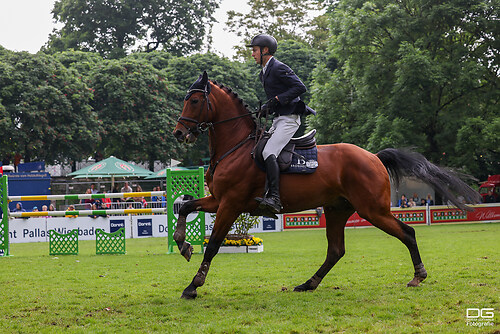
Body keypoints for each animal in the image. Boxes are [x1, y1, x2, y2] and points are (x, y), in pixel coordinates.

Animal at [171, 71, 480, 300]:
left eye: (195, 101)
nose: (179, 133)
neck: (235, 147)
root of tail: (374, 157)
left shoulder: (231, 203)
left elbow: (213, 245)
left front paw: (193, 285)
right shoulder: (218, 199)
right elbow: (185, 207)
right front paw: (183, 244)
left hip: (373, 210)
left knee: (407, 233)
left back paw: (418, 275)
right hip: (337, 210)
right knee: (336, 251)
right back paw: (308, 284)